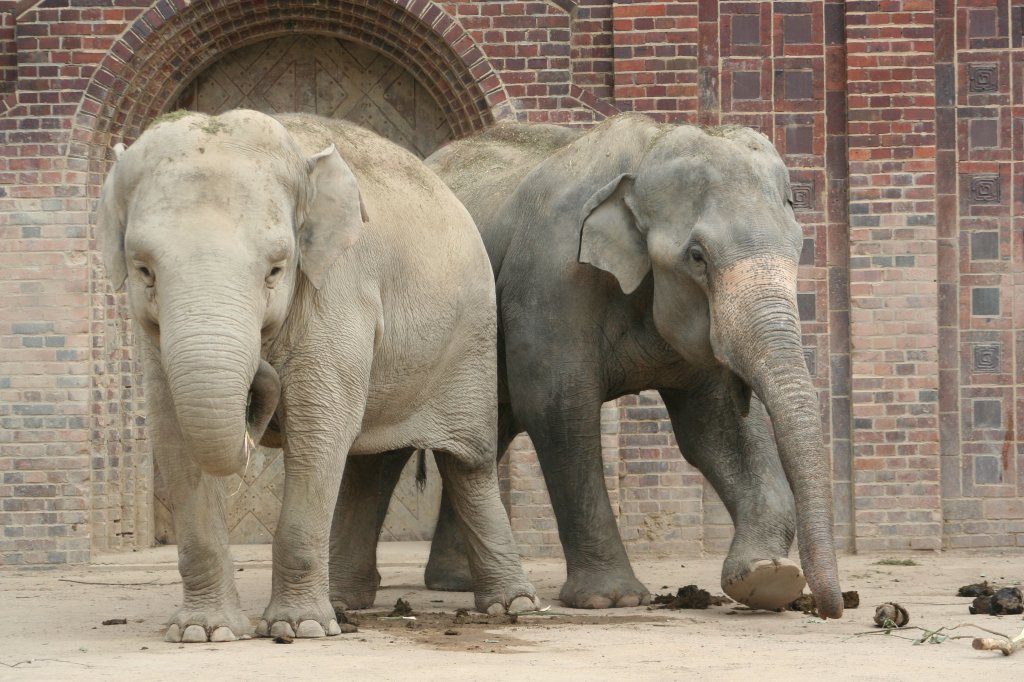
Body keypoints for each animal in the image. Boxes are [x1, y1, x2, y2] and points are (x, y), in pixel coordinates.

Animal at [98, 109, 540, 638]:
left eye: (276, 269)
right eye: (144, 270)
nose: (259, 377)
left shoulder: (339, 291)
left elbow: (318, 427)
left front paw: (298, 628)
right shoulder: (153, 338)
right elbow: (173, 434)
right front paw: (205, 632)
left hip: (471, 341)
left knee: (468, 465)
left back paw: (512, 606)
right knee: (367, 464)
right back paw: (346, 602)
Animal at [339, 115, 843, 614]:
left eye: (799, 246)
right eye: (697, 256)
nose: (830, 608)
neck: (647, 151)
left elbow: (711, 426)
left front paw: (767, 577)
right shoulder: (552, 277)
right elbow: (558, 406)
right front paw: (611, 598)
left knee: (484, 430)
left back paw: (455, 584)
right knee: (396, 441)